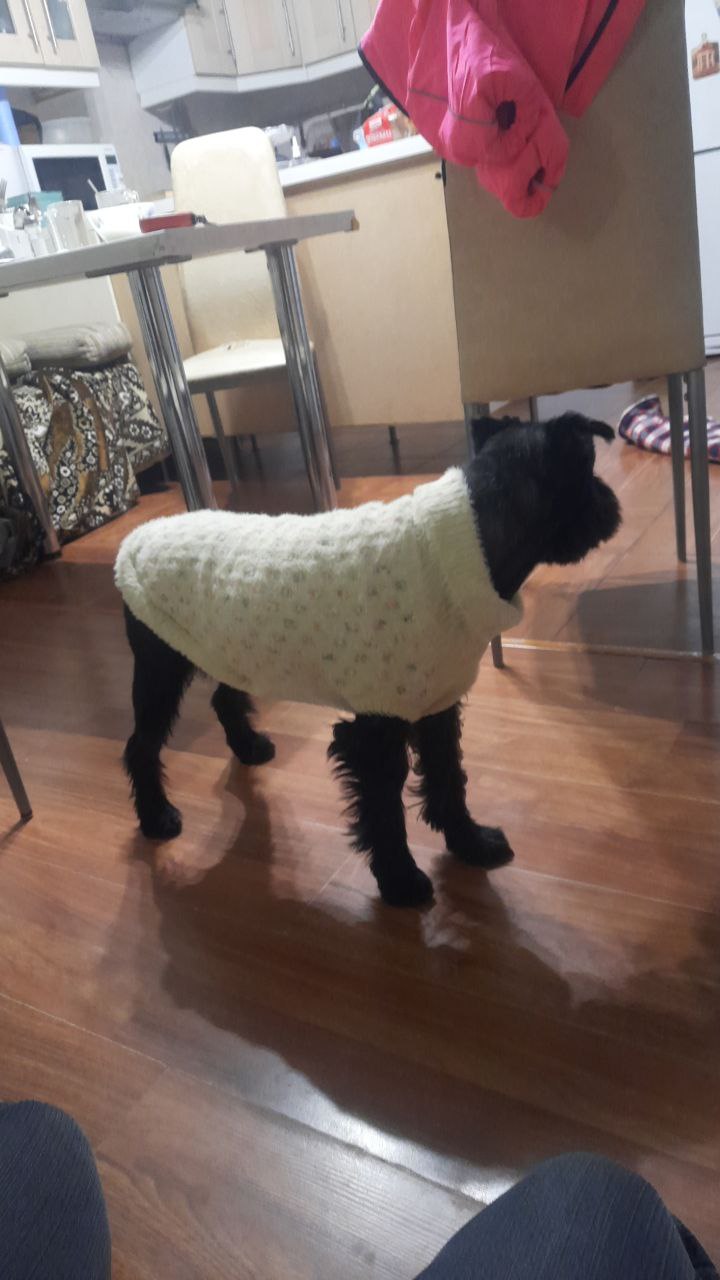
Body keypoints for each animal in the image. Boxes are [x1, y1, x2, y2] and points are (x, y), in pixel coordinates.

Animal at [116, 411, 620, 908]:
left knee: (223, 700)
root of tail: (135, 539)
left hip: (230, 650)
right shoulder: (376, 731)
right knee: (141, 745)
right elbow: (384, 809)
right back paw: (157, 817)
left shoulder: (436, 707)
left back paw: (249, 748)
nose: (611, 504)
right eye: (588, 470)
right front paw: (401, 881)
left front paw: (470, 842)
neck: (473, 543)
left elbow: (448, 777)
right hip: (160, 672)